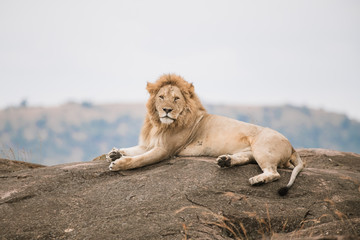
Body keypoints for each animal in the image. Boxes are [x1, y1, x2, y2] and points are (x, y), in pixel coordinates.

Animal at [107, 73, 304, 195]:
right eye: (161, 97)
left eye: (176, 99)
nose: (166, 110)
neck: (159, 125)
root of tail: (292, 146)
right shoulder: (149, 143)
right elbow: (134, 150)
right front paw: (115, 153)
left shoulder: (165, 150)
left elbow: (140, 159)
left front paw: (119, 164)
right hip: (252, 152)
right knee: (246, 159)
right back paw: (225, 161)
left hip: (263, 148)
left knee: (274, 173)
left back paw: (257, 180)